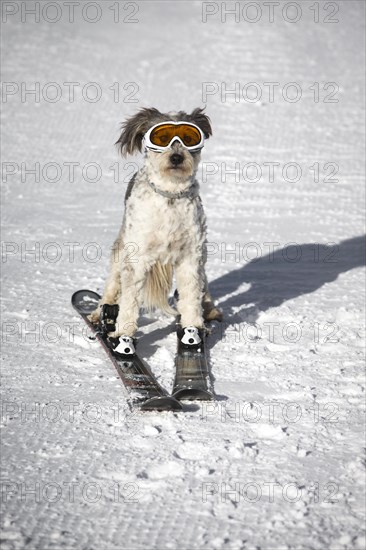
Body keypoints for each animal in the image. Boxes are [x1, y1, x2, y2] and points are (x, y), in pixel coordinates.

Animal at [89, 108, 222, 338]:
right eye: (162, 138)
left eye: (189, 138)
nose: (176, 157)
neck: (170, 195)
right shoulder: (137, 255)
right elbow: (129, 298)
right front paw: (122, 334)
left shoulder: (190, 255)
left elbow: (191, 294)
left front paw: (193, 329)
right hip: (121, 247)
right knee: (113, 284)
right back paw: (100, 313)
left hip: (202, 253)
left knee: (203, 284)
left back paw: (210, 310)